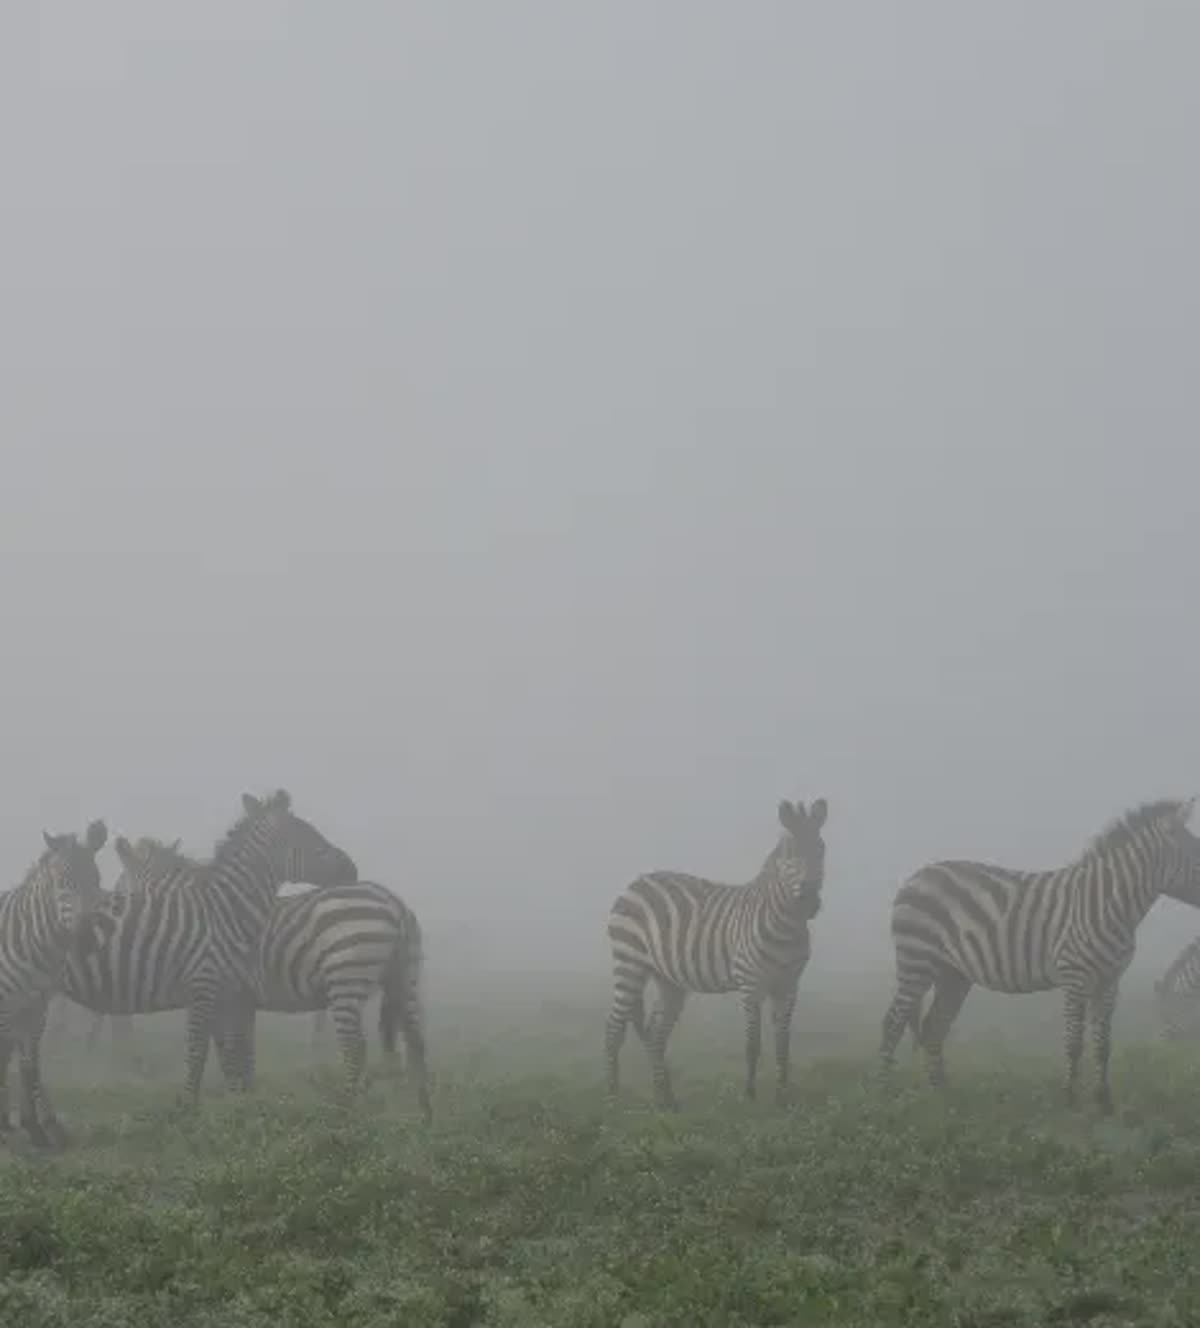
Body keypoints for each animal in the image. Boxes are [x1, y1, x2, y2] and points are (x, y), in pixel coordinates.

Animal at [0, 820, 107, 1146]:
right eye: (61, 883)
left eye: (96, 879)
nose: (86, 941)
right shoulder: (8, 1006)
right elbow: (8, 1060)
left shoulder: (37, 1008)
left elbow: (29, 1066)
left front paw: (34, 1128)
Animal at [114, 835, 431, 1120]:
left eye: (119, 889)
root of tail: (395, 904)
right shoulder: (241, 1001)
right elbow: (244, 1052)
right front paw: (247, 1098)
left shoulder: (217, 996)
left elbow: (224, 1049)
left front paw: (234, 1100)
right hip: (405, 979)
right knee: (416, 1040)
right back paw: (421, 1109)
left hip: (346, 978)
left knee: (356, 1047)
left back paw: (342, 1108)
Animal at [605, 797, 828, 1110]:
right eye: (790, 854)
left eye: (821, 850)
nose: (810, 902)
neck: (787, 925)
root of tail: (635, 883)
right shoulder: (750, 983)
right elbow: (752, 1043)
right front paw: (749, 1095)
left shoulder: (788, 985)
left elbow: (783, 1043)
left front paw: (783, 1097)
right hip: (629, 963)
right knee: (614, 1028)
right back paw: (613, 1098)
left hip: (669, 981)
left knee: (654, 1034)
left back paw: (666, 1099)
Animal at [879, 798, 1200, 1113]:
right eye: (1198, 857)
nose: (1169, 1044)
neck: (1107, 905)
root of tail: (916, 876)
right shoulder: (1074, 976)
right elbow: (1074, 1041)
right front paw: (1070, 1099)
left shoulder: (1109, 981)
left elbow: (1103, 1043)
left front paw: (1103, 1100)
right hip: (917, 960)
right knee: (893, 1022)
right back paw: (887, 1092)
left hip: (953, 974)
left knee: (934, 1026)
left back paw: (942, 1094)